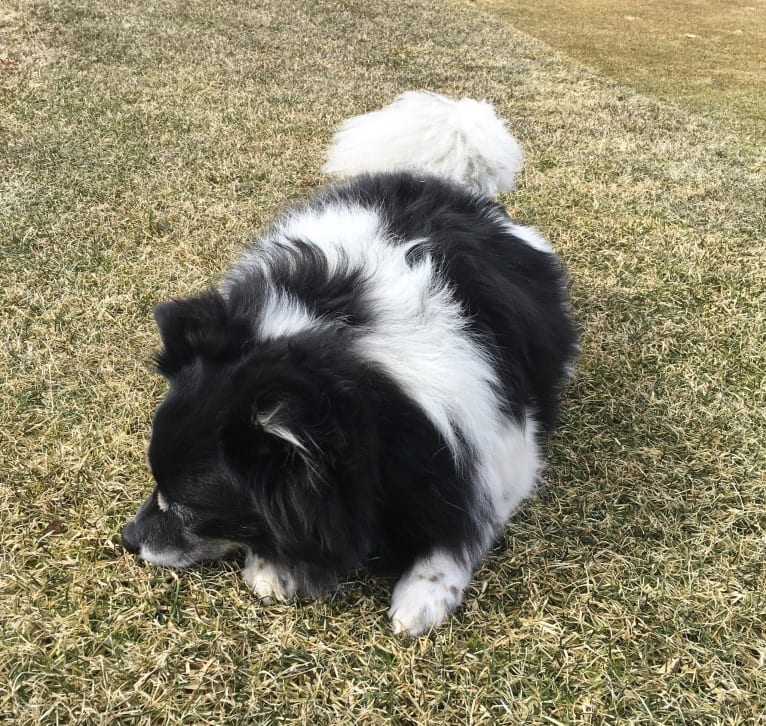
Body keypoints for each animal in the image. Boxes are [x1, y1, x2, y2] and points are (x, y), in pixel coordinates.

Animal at [121, 92, 576, 636]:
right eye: (156, 484)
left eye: (190, 509)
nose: (127, 538)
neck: (343, 344)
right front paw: (276, 566)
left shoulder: (493, 443)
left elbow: (463, 523)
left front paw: (422, 596)